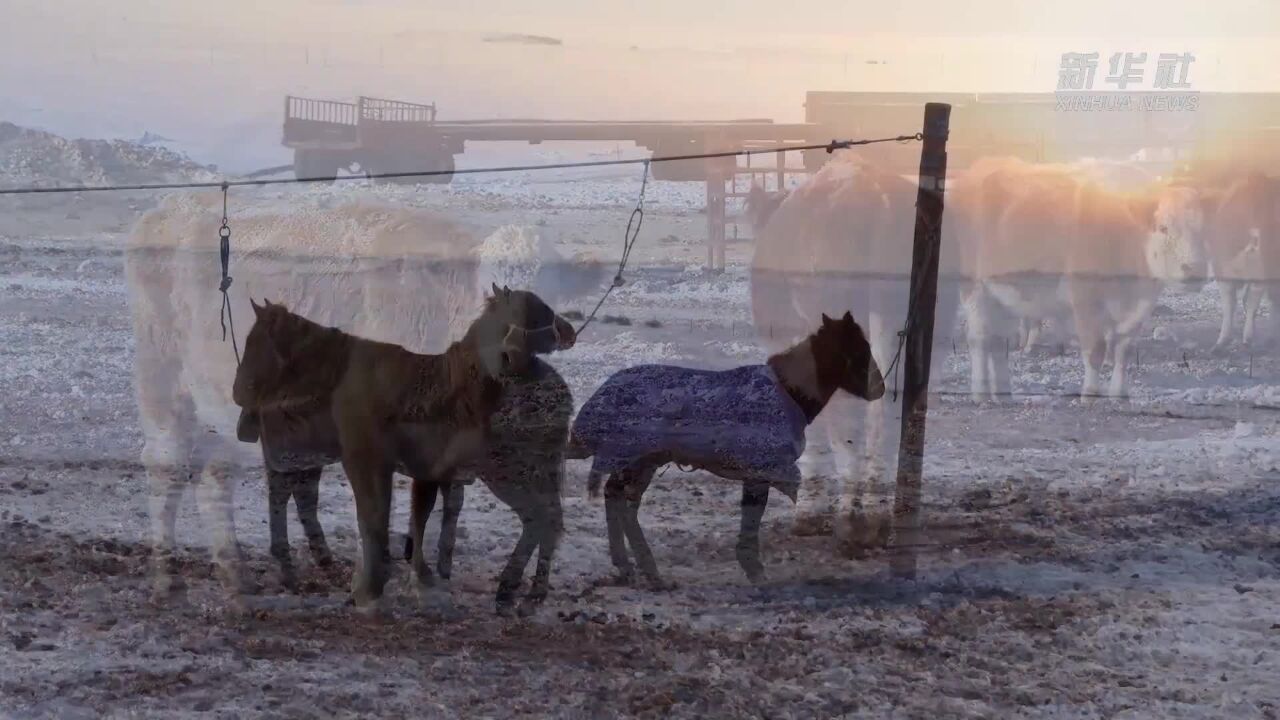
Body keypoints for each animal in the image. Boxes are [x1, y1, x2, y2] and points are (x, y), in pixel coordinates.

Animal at [232, 283, 573, 607]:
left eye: (255, 343)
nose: (237, 392)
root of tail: (563, 398)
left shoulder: (366, 463)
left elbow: (376, 520)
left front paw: (372, 586)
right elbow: (391, 519)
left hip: (512, 473)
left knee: (542, 519)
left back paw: (517, 592)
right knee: (546, 520)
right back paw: (521, 593)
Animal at [565, 308, 885, 584]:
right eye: (860, 350)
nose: (880, 388)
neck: (787, 393)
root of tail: (599, 397)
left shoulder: (758, 475)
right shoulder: (772, 469)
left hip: (645, 463)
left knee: (620, 501)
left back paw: (638, 569)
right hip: (633, 460)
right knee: (620, 501)